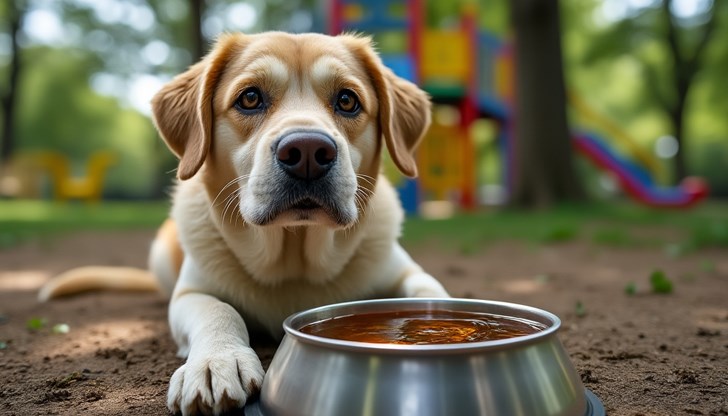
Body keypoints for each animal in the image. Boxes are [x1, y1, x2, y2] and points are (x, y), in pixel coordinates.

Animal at [39, 33, 452, 416]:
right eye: (250, 98)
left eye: (348, 101)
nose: (307, 152)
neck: (294, 261)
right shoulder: (191, 294)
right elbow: (219, 312)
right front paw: (215, 363)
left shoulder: (408, 273)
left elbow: (431, 295)